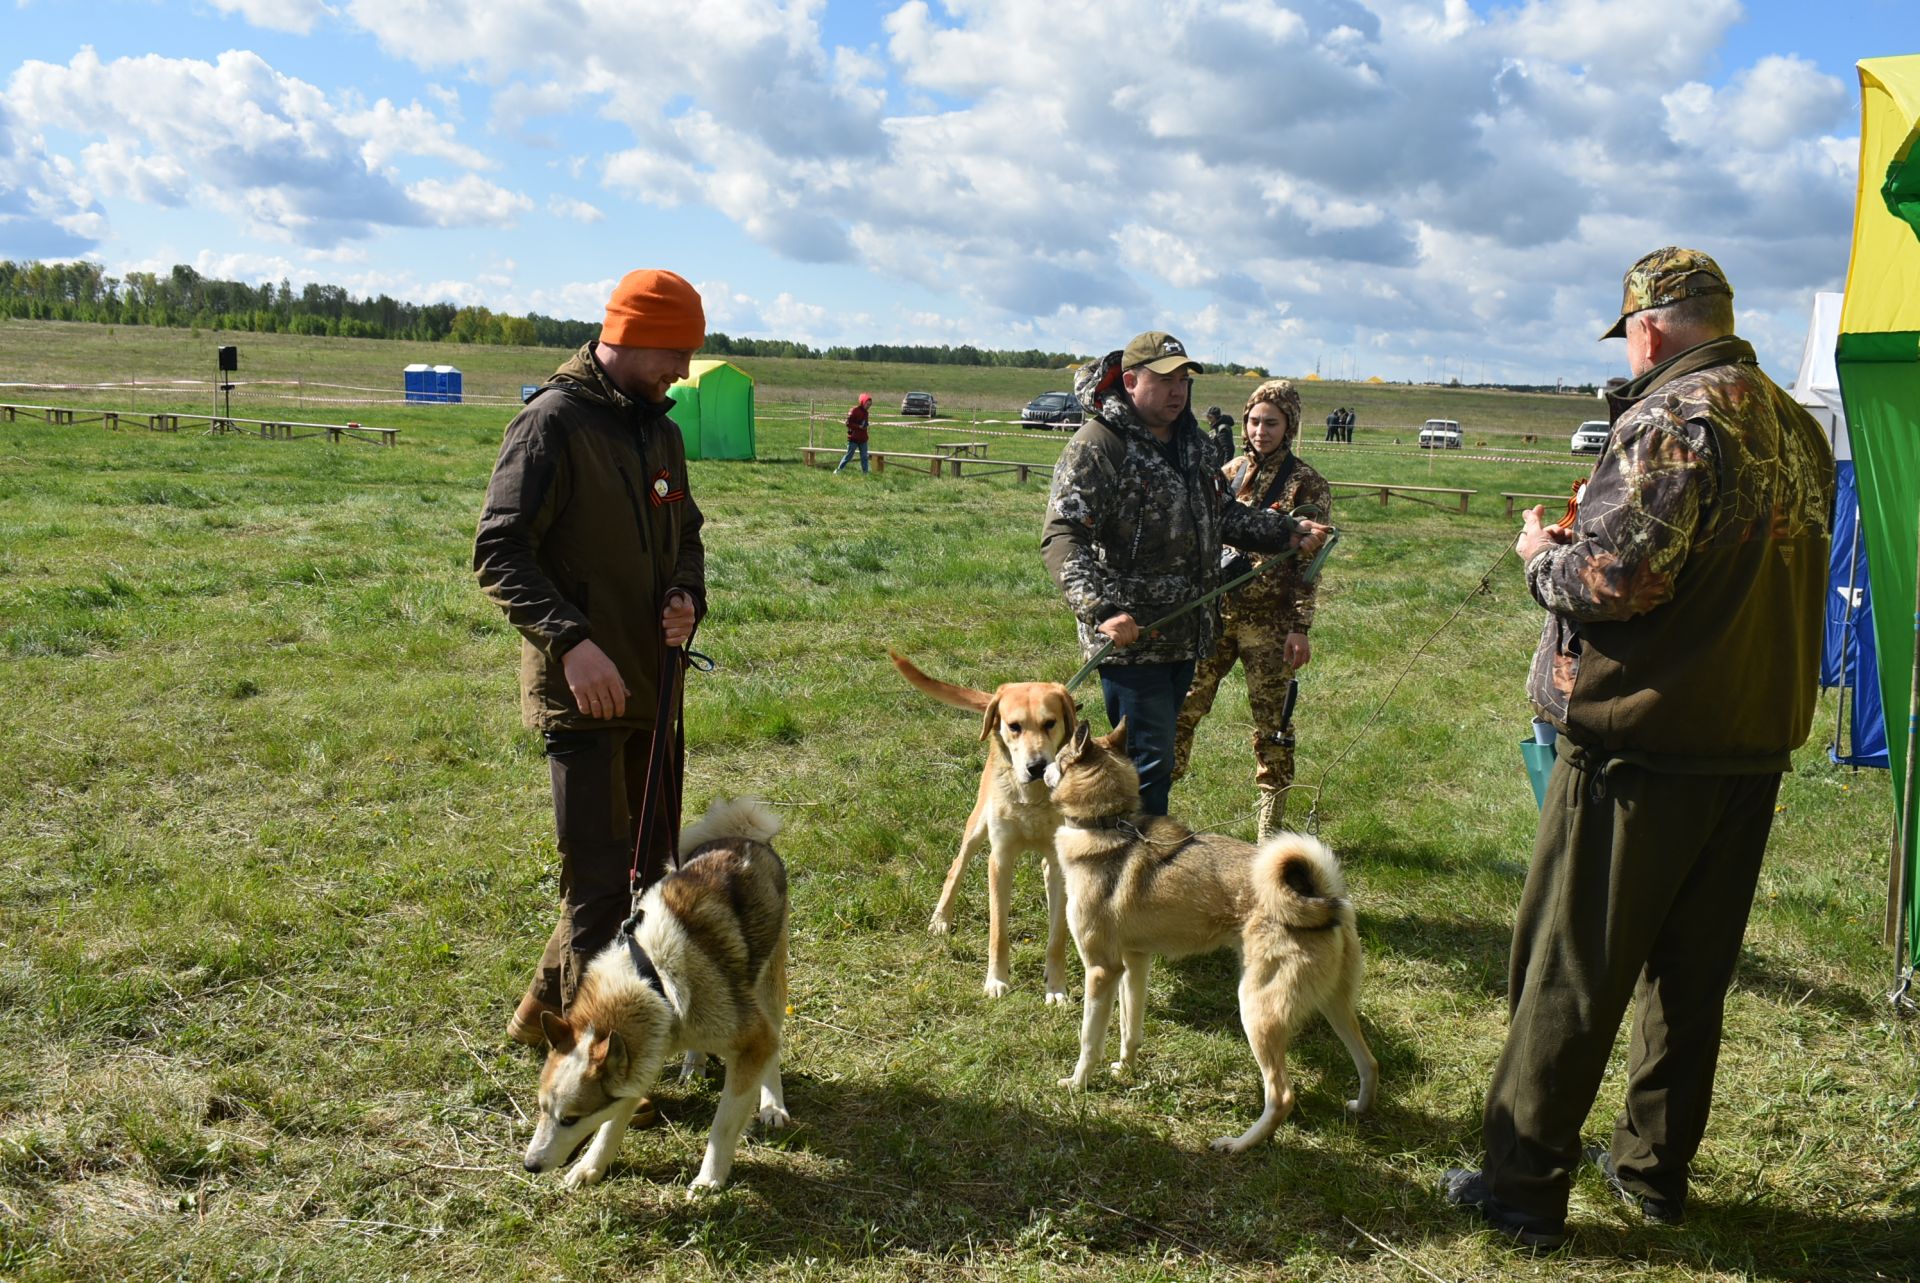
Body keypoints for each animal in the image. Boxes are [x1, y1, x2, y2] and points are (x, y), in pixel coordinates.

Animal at [887, 653, 1075, 998]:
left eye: (1050, 723)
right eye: (1014, 726)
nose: (1037, 767)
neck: (1032, 800)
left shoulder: (1059, 861)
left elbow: (1057, 938)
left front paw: (1056, 988)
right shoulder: (999, 859)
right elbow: (998, 931)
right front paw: (996, 981)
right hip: (978, 826)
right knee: (956, 866)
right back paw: (940, 918)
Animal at [1044, 722, 1374, 1152]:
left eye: (1058, 756)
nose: (1036, 767)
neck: (1106, 824)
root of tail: (1322, 900)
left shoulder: (1101, 970)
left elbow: (1089, 1040)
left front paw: (1077, 1083)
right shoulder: (1134, 964)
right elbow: (1130, 1029)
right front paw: (1124, 1070)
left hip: (1257, 1009)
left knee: (1282, 1095)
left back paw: (1238, 1144)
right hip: (1335, 1005)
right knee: (1369, 1062)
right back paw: (1360, 1108)